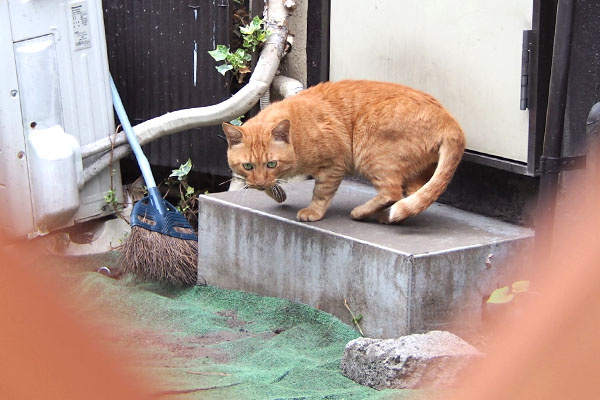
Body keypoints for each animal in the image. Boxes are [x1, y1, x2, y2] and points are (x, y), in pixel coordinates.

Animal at [223, 79, 466, 223]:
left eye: (271, 164)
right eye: (248, 166)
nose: (260, 182)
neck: (298, 132)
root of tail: (451, 122)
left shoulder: (333, 165)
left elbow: (321, 193)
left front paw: (312, 212)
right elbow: (271, 186)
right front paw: (275, 192)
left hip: (370, 154)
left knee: (392, 191)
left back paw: (362, 212)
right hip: (418, 171)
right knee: (415, 195)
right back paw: (387, 216)